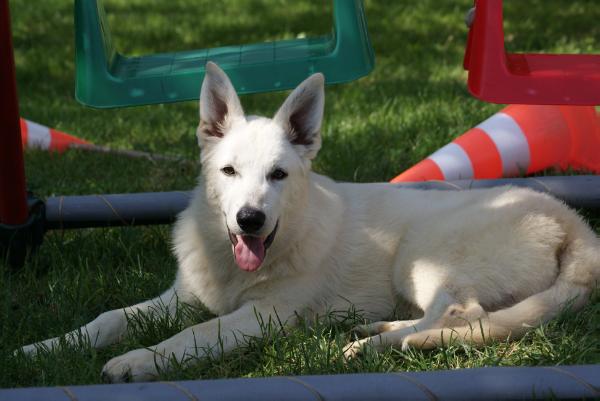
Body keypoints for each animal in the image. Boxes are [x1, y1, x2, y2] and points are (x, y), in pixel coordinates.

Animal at [21, 62, 600, 382]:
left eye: (279, 175)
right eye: (228, 172)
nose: (250, 220)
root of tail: (572, 223)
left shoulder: (263, 316)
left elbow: (192, 335)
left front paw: (138, 362)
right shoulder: (182, 296)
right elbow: (109, 318)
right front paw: (45, 347)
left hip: (421, 256)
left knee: (464, 315)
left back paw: (374, 345)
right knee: (454, 317)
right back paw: (375, 328)